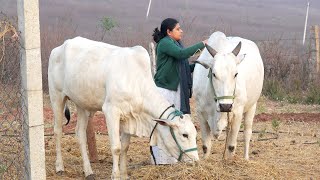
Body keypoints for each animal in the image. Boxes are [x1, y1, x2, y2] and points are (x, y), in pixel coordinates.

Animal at [47, 36, 199, 179]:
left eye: (195, 134)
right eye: (184, 134)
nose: (196, 161)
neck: (136, 81)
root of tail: (58, 49)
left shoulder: (129, 116)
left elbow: (125, 147)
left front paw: (124, 174)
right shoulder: (111, 111)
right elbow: (116, 147)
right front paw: (115, 175)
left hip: (82, 105)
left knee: (80, 134)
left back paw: (88, 171)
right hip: (57, 97)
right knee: (58, 131)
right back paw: (60, 167)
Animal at [194, 31, 264, 160]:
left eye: (236, 74)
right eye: (214, 74)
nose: (225, 106)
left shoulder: (237, 113)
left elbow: (231, 146)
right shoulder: (200, 113)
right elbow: (206, 146)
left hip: (252, 106)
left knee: (247, 133)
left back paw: (246, 158)